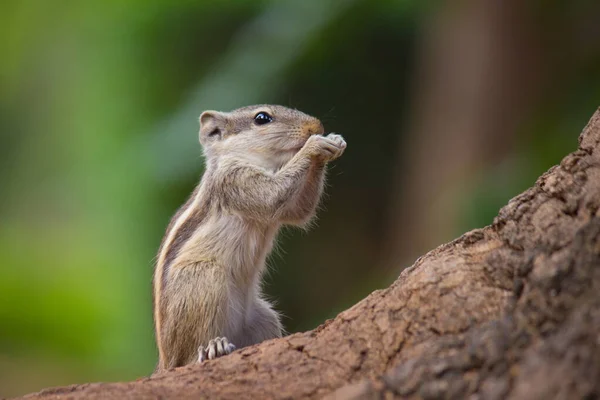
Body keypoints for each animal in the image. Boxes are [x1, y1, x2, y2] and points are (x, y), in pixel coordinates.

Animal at [151, 104, 346, 372]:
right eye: (262, 118)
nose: (316, 126)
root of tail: (164, 360)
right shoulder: (234, 179)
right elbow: (272, 195)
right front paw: (314, 145)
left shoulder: (287, 207)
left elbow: (300, 210)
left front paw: (333, 142)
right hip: (203, 277)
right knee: (188, 358)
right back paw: (213, 348)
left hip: (264, 318)